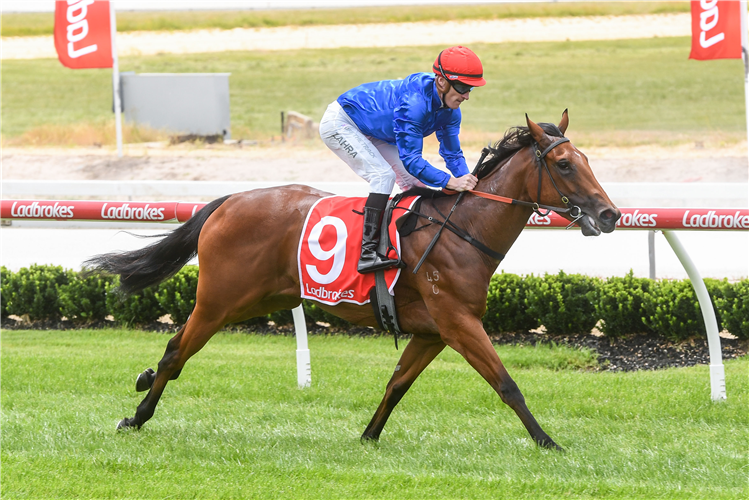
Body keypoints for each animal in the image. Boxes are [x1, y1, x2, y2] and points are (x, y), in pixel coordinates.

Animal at [87, 112, 620, 450]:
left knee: (177, 347)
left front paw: (368, 436)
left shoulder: (432, 332)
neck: (462, 230)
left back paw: (143, 384)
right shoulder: (458, 322)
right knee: (176, 351)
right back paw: (137, 415)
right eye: (565, 164)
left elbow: (397, 383)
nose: (610, 214)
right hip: (220, 300)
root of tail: (230, 200)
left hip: (257, 299)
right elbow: (507, 384)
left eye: (589, 161)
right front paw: (548, 442)